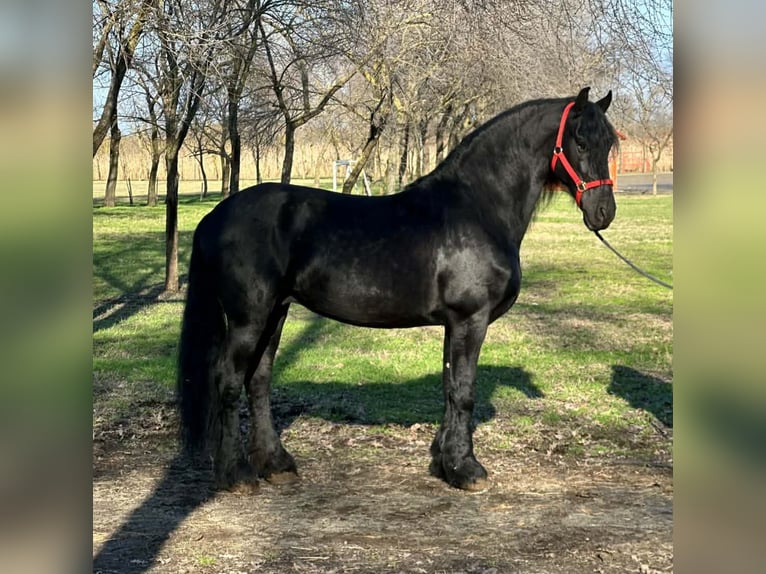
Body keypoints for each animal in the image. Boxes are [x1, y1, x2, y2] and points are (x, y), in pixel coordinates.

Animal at [177, 87, 617, 492]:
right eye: (580, 141)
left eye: (610, 143)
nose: (604, 213)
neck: (478, 209)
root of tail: (214, 217)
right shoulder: (470, 320)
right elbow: (464, 392)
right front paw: (467, 470)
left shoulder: (453, 324)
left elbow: (449, 388)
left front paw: (445, 462)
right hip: (248, 318)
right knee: (228, 381)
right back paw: (236, 474)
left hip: (276, 312)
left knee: (259, 380)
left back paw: (275, 464)